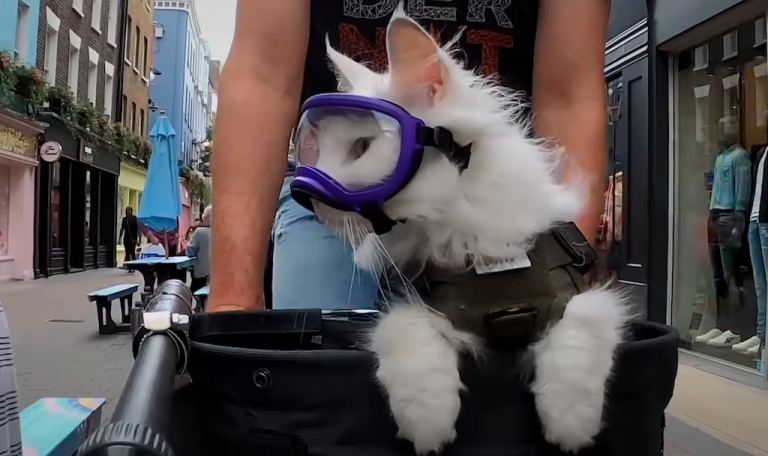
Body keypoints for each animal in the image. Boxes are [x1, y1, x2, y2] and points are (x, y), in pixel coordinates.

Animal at [304, 7, 628, 456]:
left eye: (361, 148)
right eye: (319, 152)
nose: (307, 193)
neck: (456, 229)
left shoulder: (584, 297)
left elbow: (576, 348)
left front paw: (569, 430)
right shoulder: (412, 305)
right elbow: (411, 347)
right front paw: (430, 433)